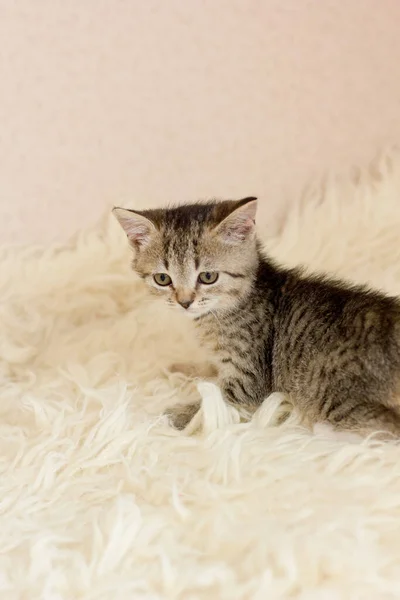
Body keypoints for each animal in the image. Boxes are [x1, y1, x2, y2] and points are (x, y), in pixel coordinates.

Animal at [112, 197, 400, 436]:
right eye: (163, 279)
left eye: (208, 277)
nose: (184, 302)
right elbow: (210, 370)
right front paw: (181, 369)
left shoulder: (250, 384)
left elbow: (212, 403)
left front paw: (164, 415)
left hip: (334, 399)